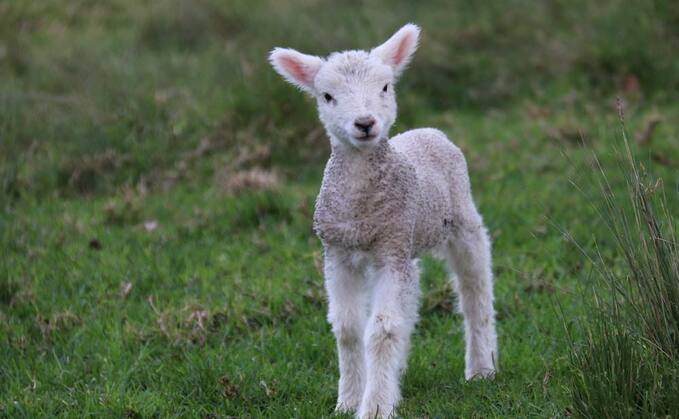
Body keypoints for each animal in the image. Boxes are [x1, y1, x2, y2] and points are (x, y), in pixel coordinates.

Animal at [270, 24, 500, 418]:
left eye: (385, 87)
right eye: (327, 96)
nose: (365, 123)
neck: (361, 211)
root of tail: (428, 131)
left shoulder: (390, 253)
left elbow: (381, 330)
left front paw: (375, 405)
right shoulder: (338, 254)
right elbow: (348, 329)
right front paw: (348, 400)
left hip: (461, 219)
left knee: (475, 290)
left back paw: (482, 367)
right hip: (408, 242)